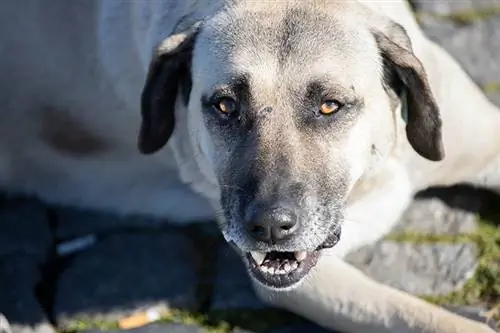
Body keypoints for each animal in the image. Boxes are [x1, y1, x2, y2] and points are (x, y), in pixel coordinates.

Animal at [0, 0, 500, 332]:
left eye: (329, 106)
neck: (373, 169)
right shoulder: (316, 281)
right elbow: (421, 315)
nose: (270, 227)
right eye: (225, 106)